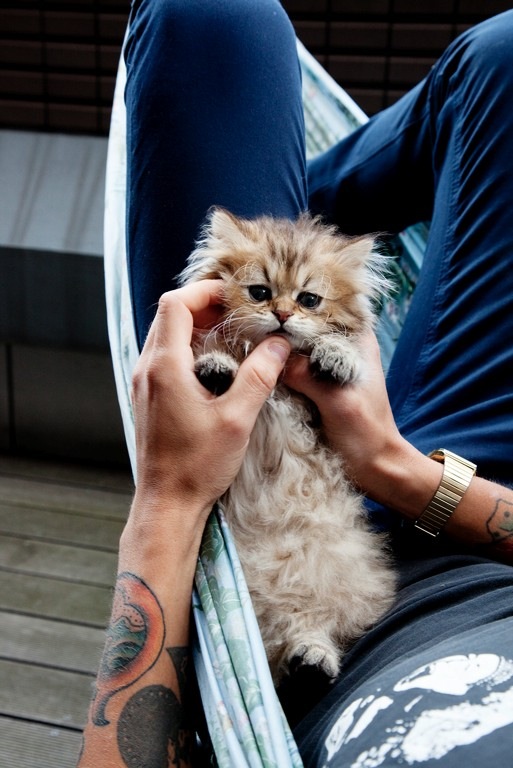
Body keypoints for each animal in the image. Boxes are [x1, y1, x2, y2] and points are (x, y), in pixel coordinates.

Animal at [179, 207, 397, 685]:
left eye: (309, 299)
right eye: (260, 293)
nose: (281, 314)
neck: (277, 380)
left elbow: (339, 344)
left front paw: (337, 357)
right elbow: (219, 352)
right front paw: (218, 367)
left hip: (335, 583)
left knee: (310, 624)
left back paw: (312, 658)